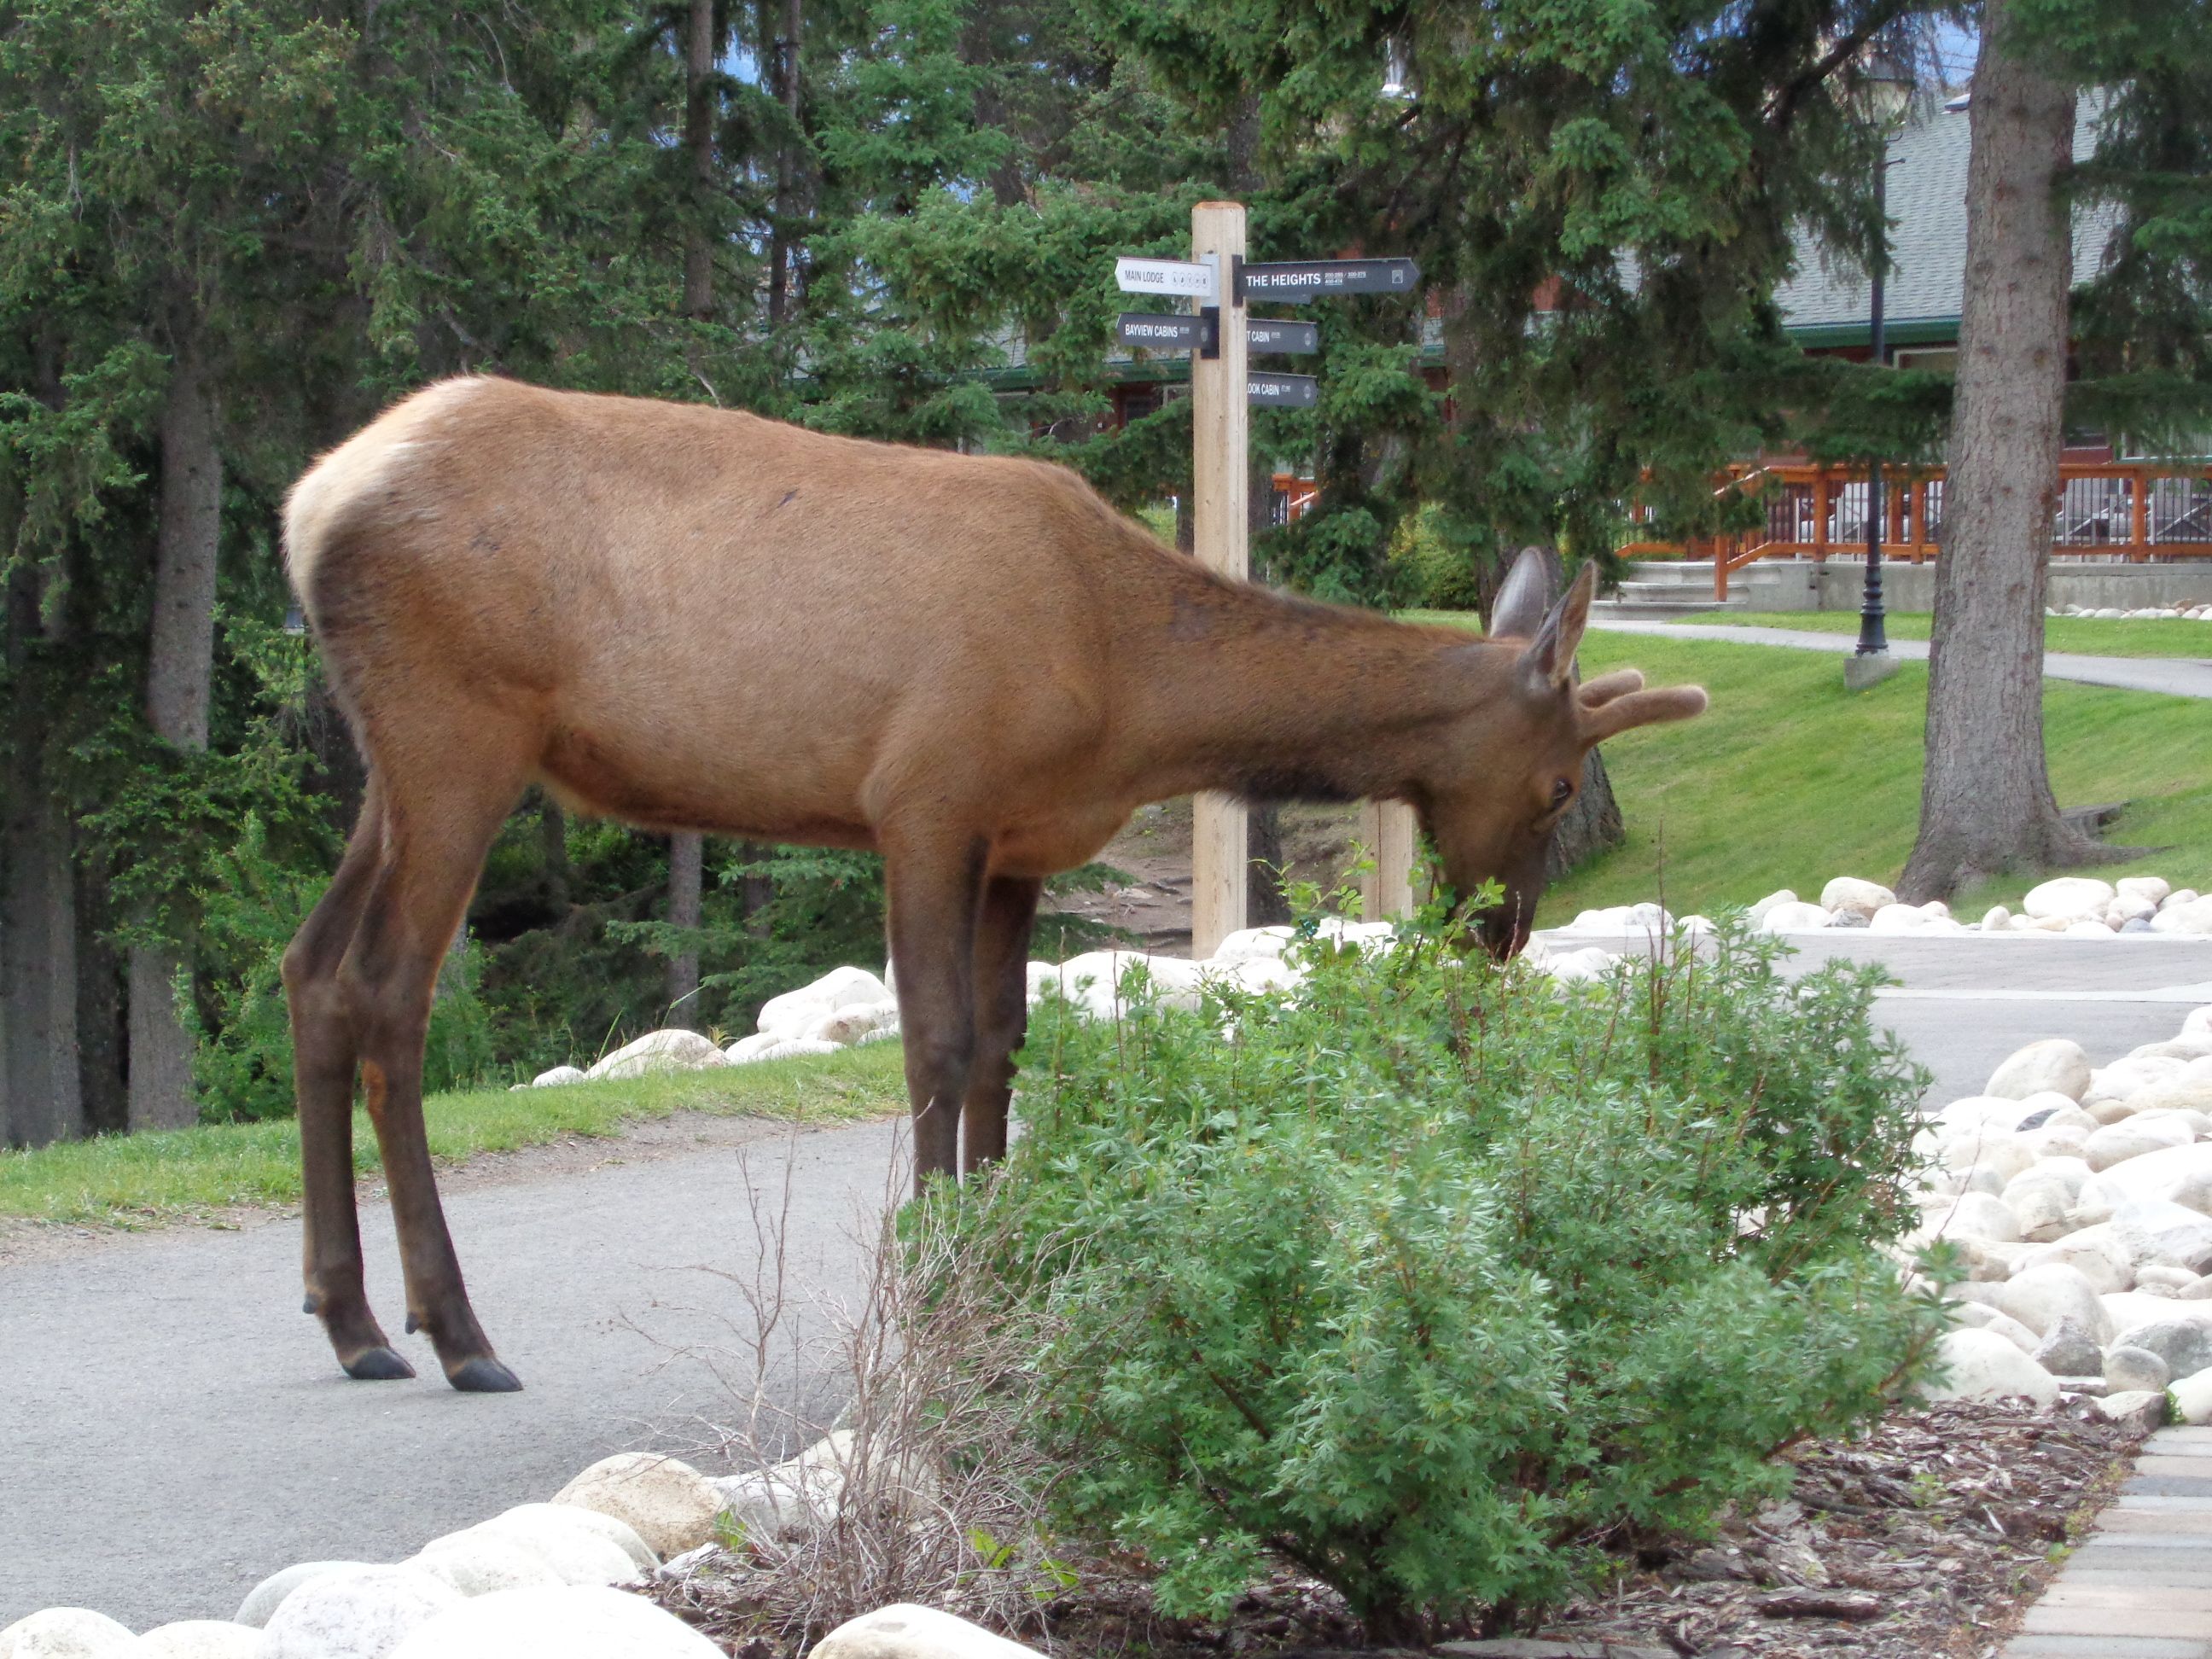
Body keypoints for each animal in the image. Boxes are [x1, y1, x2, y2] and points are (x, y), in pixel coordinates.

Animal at [281, 375, 1708, 1388]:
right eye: (1562, 786)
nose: (1499, 938)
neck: (1132, 689)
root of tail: (308, 507)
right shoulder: (927, 800)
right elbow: (939, 1046)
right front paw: (926, 1289)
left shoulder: (1021, 845)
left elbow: (1008, 1051)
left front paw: (991, 1269)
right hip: (461, 734)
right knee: (389, 993)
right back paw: (456, 1329)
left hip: (391, 767)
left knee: (309, 971)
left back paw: (351, 1319)